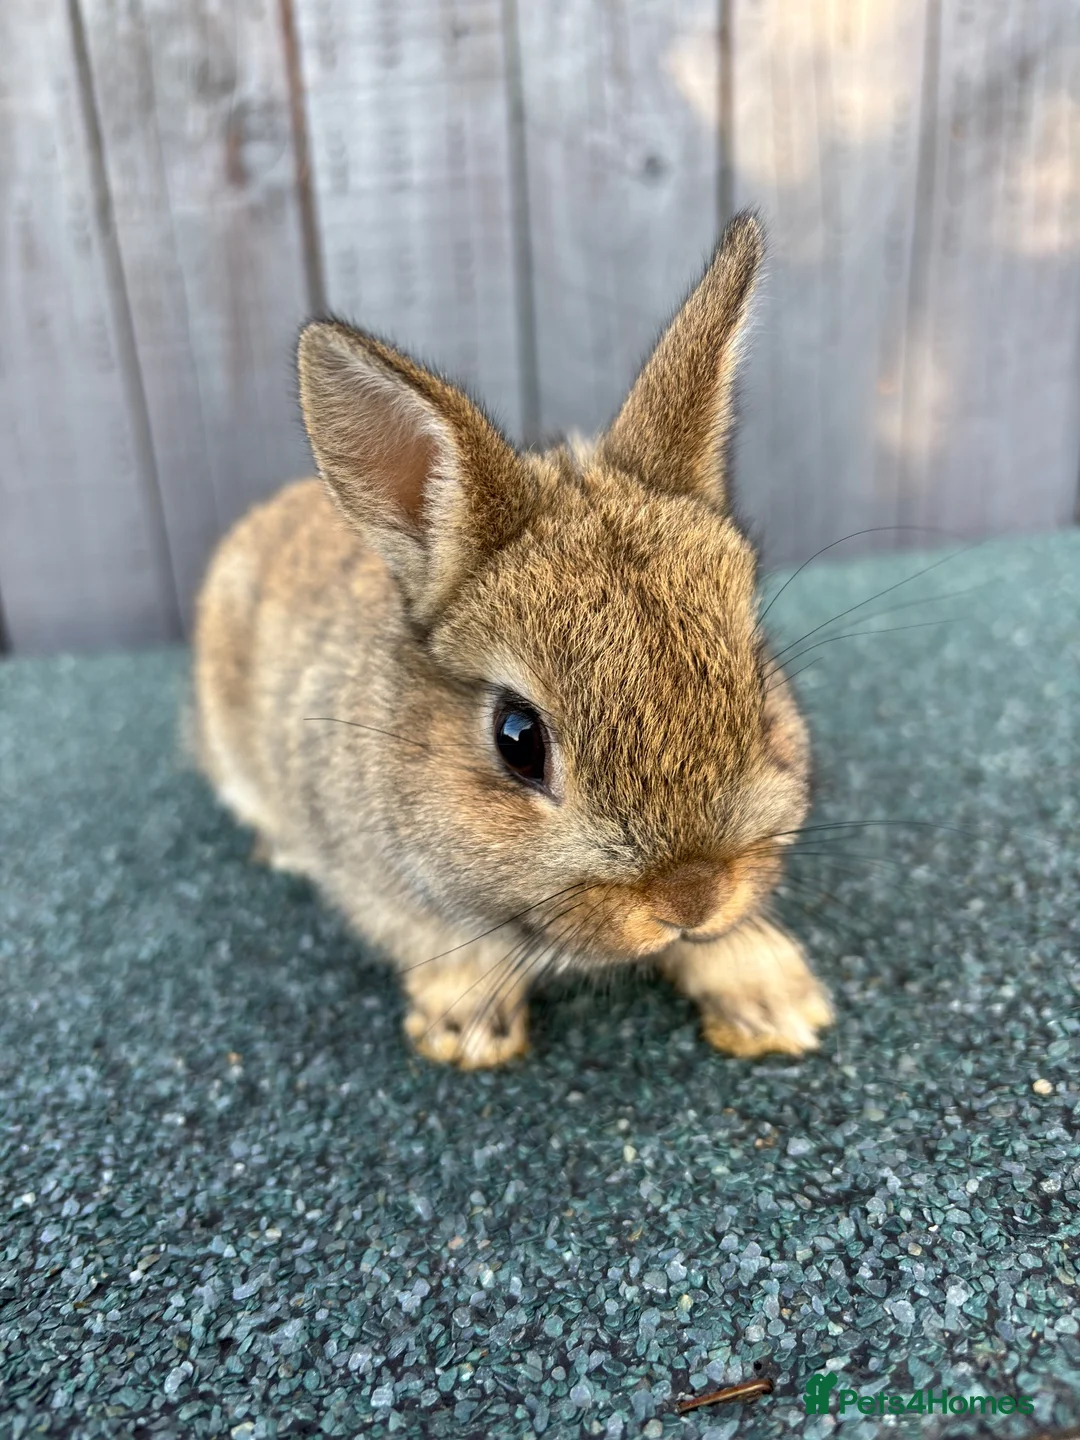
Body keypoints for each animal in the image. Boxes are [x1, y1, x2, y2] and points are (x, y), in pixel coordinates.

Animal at [192, 212, 833, 1069]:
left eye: (759, 689)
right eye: (518, 739)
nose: (691, 897)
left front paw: (771, 996)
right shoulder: (376, 880)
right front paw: (467, 1028)